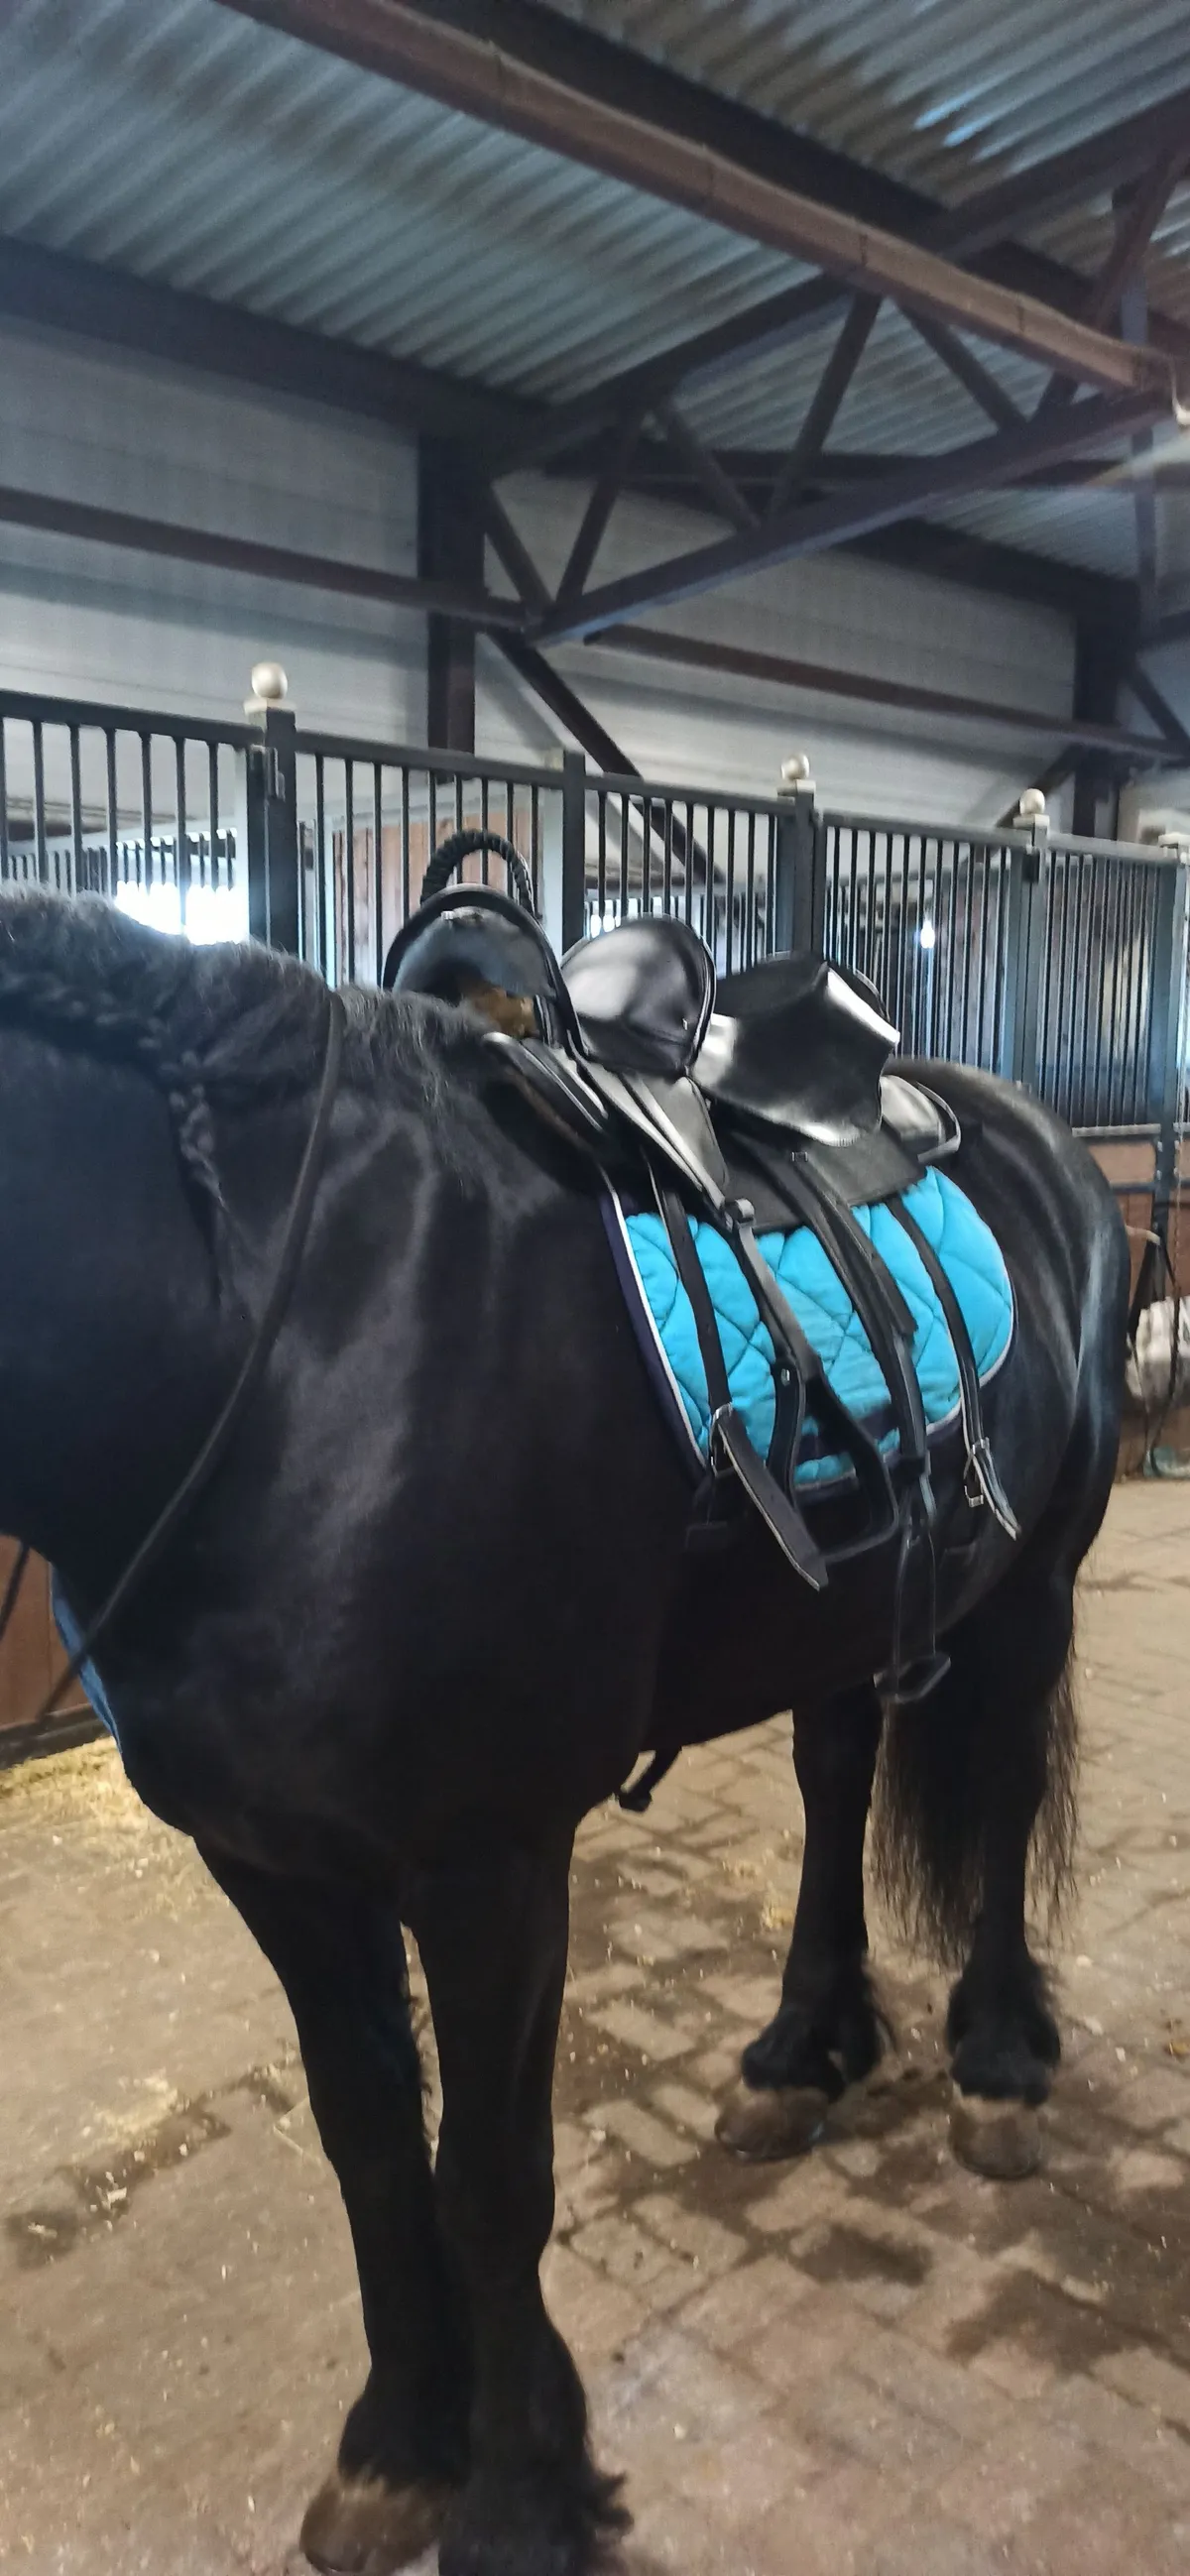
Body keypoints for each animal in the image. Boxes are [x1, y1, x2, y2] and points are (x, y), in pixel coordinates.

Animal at [0, 886, 1128, 2576]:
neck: (284, 1341)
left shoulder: (491, 1865)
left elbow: (490, 2183)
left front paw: (523, 2496)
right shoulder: (274, 1863)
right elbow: (371, 2152)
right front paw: (402, 2446)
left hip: (1034, 1583)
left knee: (992, 1800)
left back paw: (994, 2061)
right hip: (852, 1611)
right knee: (835, 1775)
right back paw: (800, 2051)